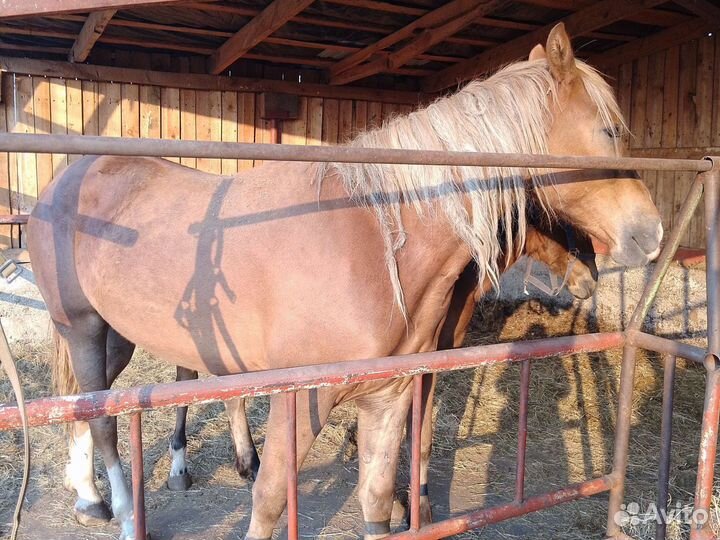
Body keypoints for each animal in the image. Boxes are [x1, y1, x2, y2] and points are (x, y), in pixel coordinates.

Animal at [28, 23, 661, 540]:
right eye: (609, 130)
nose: (649, 232)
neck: (373, 246)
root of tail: (67, 179)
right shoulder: (301, 399)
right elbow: (270, 500)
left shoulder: (390, 397)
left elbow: (378, 497)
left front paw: (408, 506)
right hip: (81, 327)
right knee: (103, 422)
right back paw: (118, 509)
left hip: (117, 333)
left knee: (80, 405)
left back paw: (86, 496)